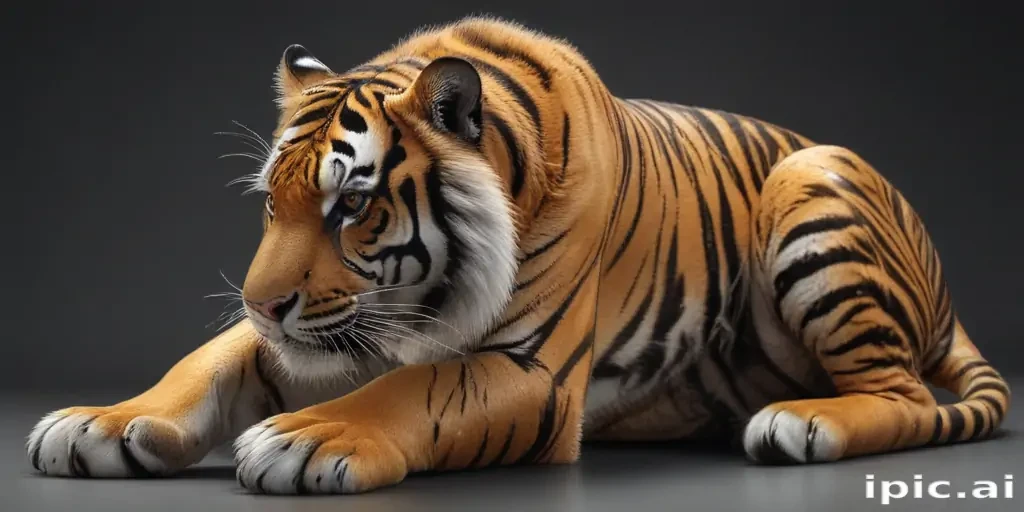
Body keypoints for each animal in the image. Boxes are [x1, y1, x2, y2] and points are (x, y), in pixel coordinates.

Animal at [27, 16, 1010, 494]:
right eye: (275, 203)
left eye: (352, 206)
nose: (263, 307)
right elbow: (201, 365)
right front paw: (99, 423)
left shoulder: (533, 372)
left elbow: (410, 391)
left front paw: (308, 437)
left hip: (814, 179)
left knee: (905, 396)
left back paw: (803, 422)